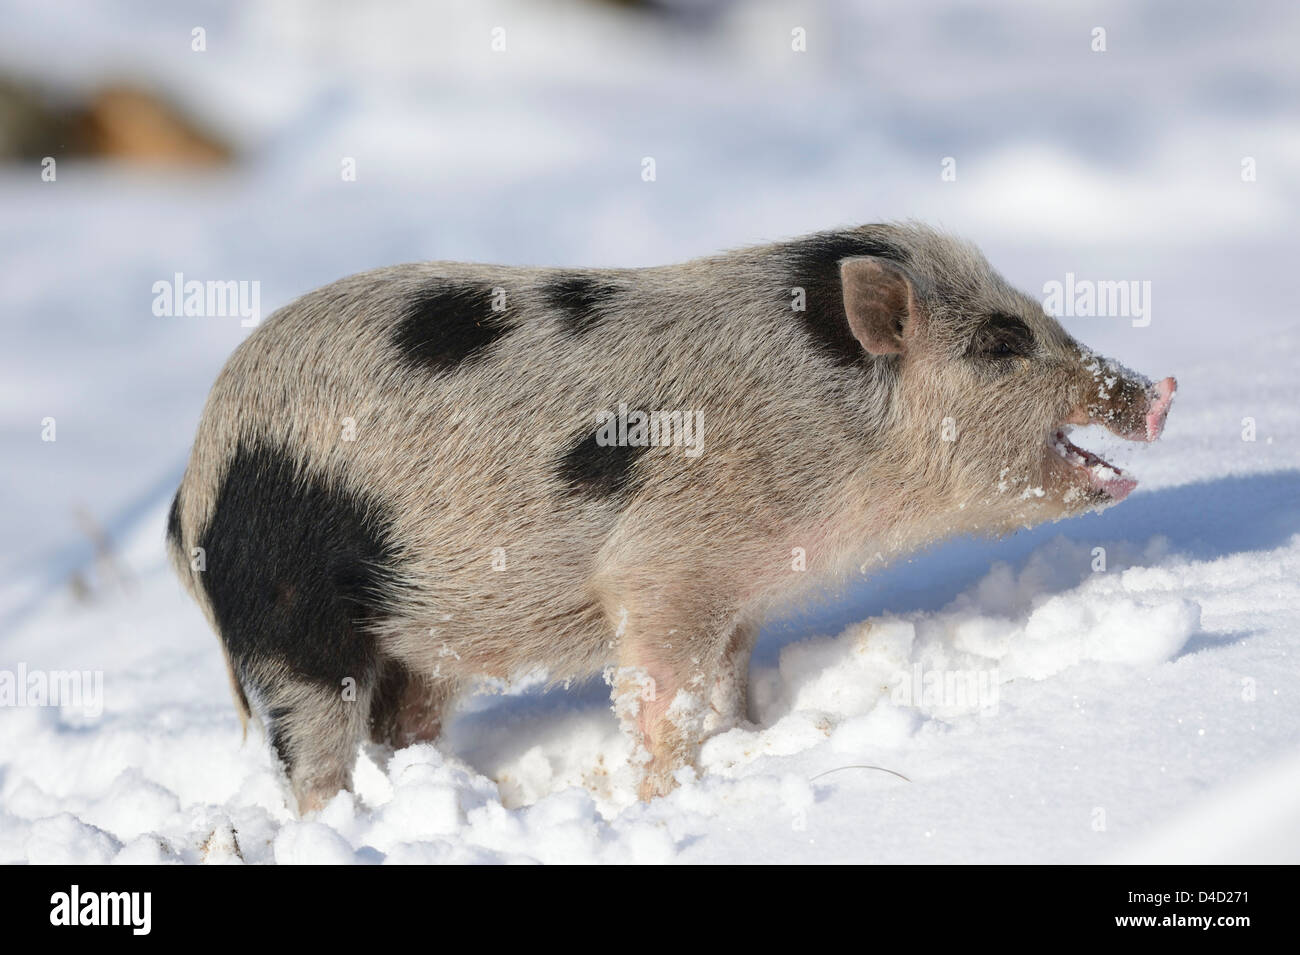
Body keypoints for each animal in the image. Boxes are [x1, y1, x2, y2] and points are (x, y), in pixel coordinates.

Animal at [166, 223, 1175, 811]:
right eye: (1002, 340)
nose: (1159, 389)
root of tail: (187, 498)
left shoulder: (741, 593)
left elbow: (724, 683)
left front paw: (743, 742)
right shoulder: (668, 569)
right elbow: (663, 693)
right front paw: (666, 795)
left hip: (419, 640)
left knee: (401, 722)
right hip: (290, 621)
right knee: (311, 753)